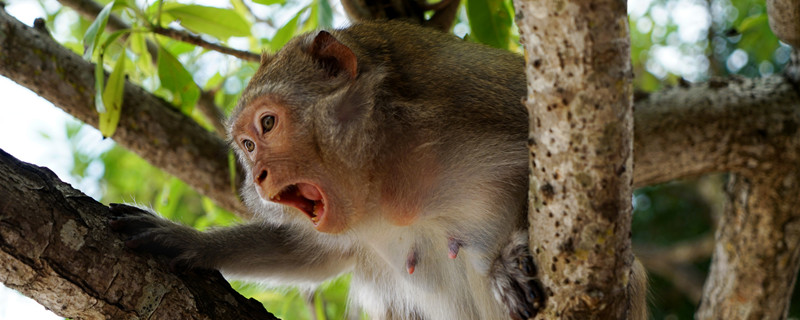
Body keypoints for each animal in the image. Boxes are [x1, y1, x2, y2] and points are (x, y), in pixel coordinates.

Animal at [109, 20, 648, 320]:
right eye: (246, 146)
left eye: (267, 124)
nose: (257, 176)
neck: (388, 175)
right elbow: (312, 255)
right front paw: (186, 241)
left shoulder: (483, 101)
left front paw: (511, 260)